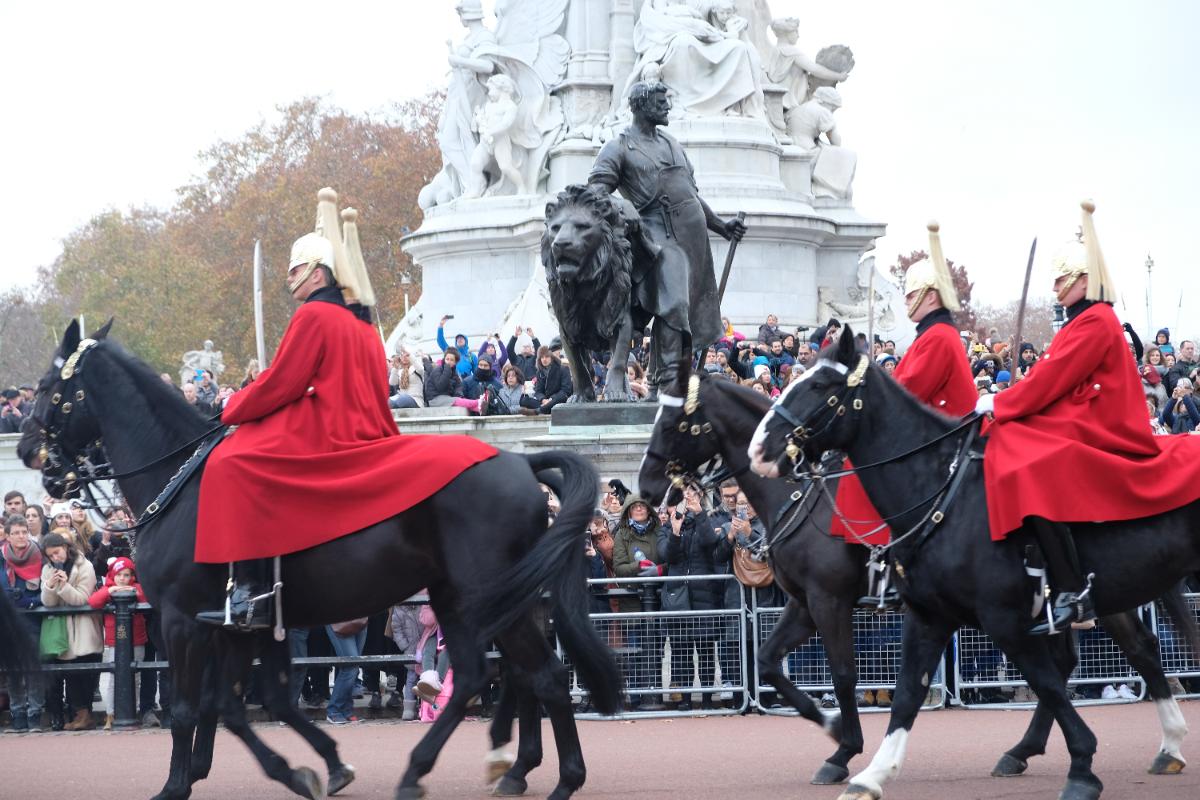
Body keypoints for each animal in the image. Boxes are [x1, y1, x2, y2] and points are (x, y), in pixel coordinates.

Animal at [14, 321, 624, 800]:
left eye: (47, 387)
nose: (28, 452)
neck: (183, 484)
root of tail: (521, 464)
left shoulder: (183, 621)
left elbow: (193, 706)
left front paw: (175, 785)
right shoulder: (245, 625)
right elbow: (245, 703)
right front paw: (317, 766)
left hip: (482, 596)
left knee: (536, 674)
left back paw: (546, 778)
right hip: (468, 597)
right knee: (501, 673)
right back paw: (499, 769)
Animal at [748, 326, 1200, 800]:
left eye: (819, 385)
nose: (759, 449)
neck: (942, 491)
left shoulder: (998, 618)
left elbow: (1045, 683)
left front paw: (1082, 768)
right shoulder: (922, 615)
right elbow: (905, 692)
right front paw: (870, 773)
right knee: (1138, 649)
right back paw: (1158, 746)